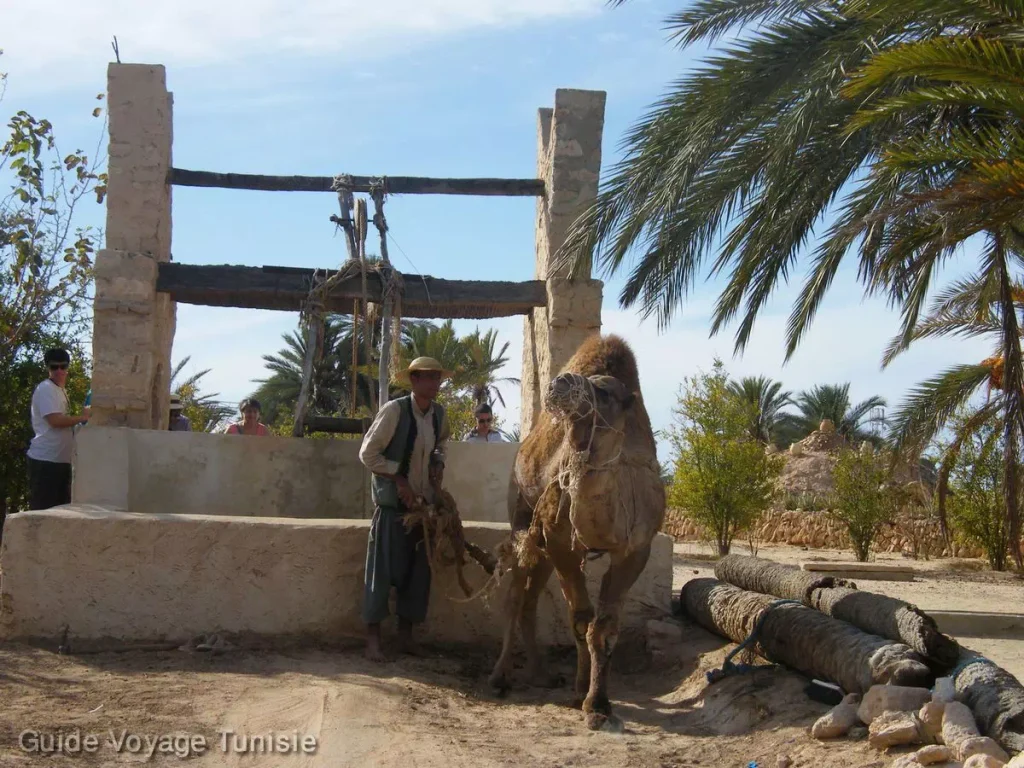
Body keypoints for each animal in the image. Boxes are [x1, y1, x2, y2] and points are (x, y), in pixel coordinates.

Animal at [487, 335, 663, 733]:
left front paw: (597, 702)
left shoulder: (636, 549)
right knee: (516, 596)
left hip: (544, 546)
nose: (561, 382)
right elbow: (581, 619)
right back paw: (500, 677)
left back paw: (542, 674)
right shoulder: (560, 540)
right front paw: (585, 693)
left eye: (606, 392)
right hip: (522, 517)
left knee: (531, 598)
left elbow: (605, 625)